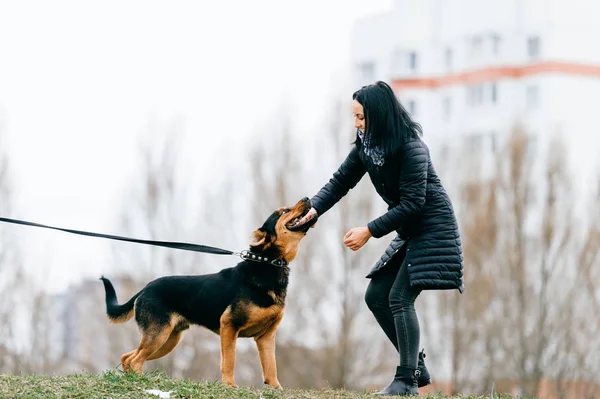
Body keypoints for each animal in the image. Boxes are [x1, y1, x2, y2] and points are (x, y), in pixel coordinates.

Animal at [99, 197, 318, 390]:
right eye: (283, 211)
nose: (307, 198)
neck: (267, 262)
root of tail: (144, 288)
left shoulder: (266, 337)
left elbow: (271, 366)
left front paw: (276, 388)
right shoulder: (229, 325)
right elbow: (229, 360)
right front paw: (230, 385)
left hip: (168, 340)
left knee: (128, 357)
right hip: (158, 335)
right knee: (136, 359)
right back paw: (141, 381)